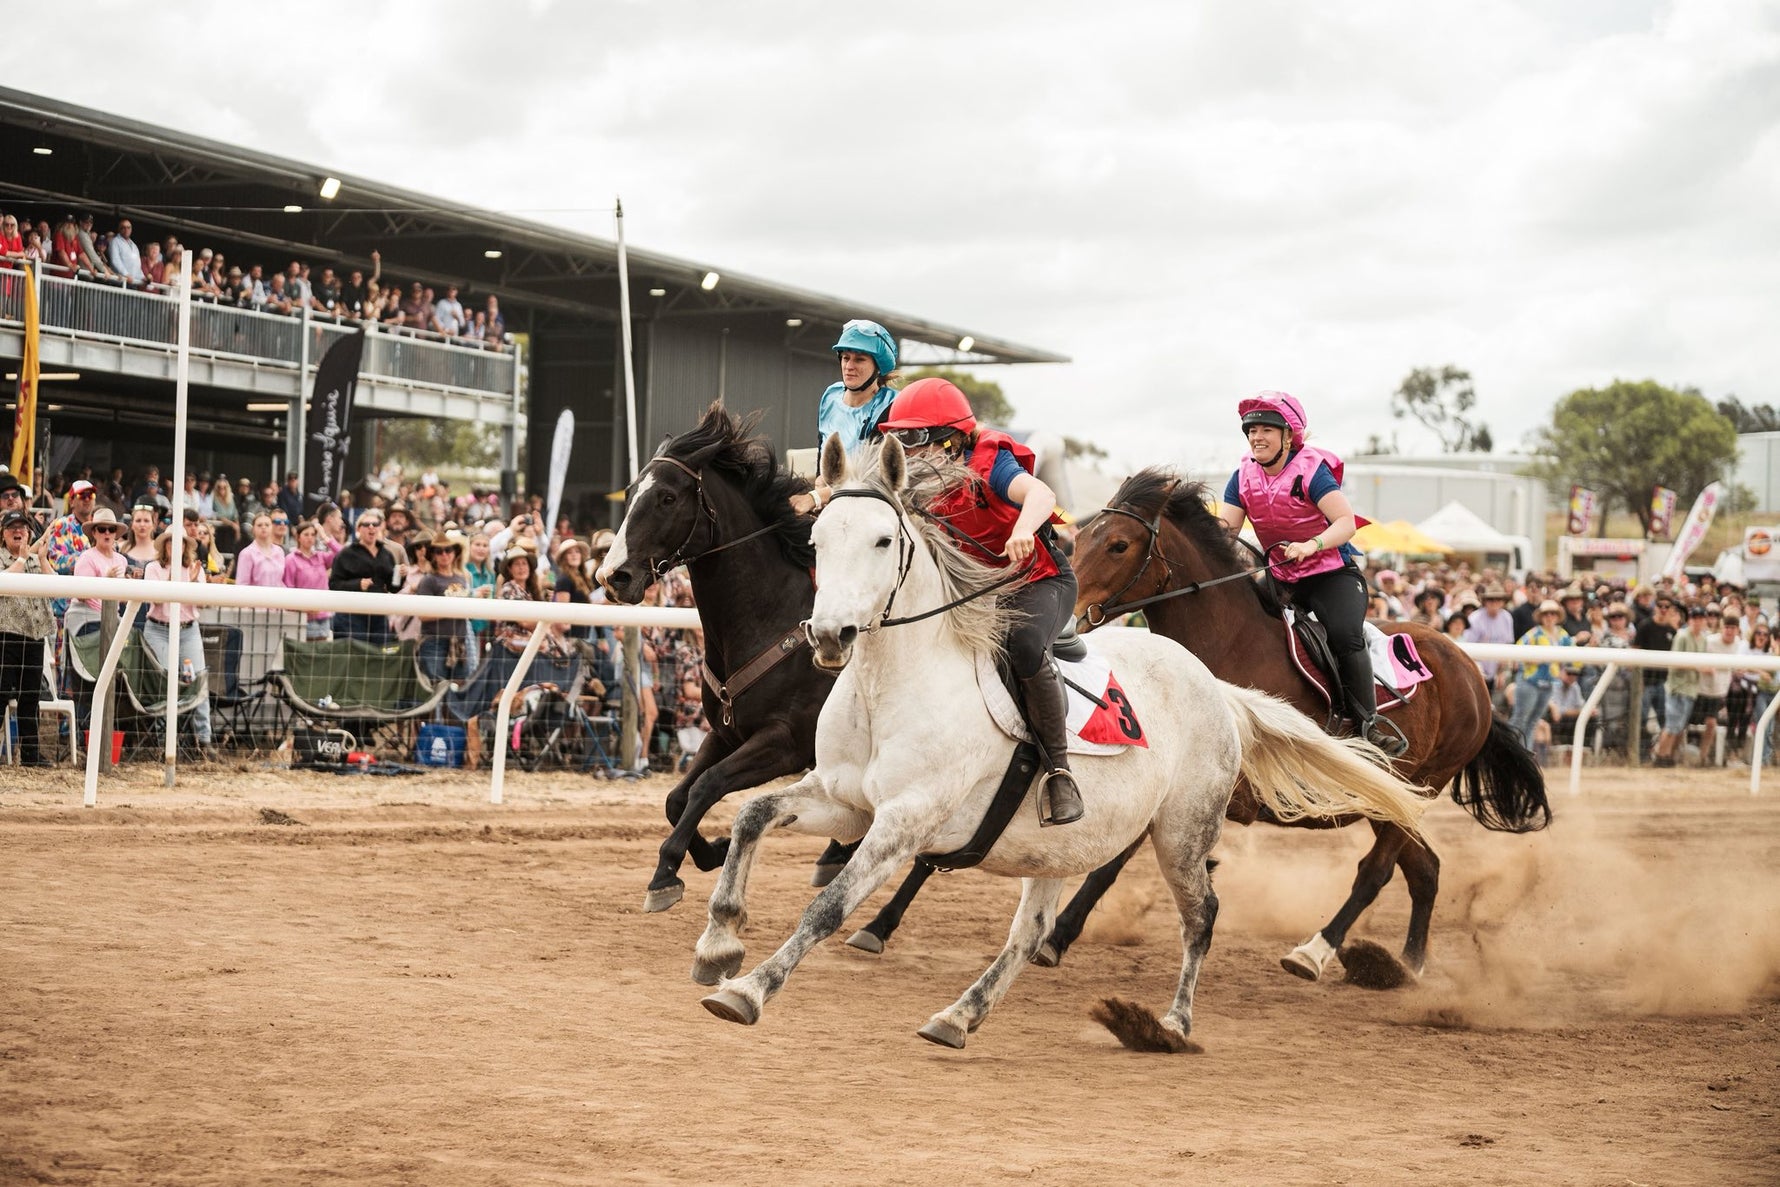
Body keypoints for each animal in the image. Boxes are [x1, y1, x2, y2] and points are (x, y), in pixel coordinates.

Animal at [595, 403, 943, 929]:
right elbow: (677, 798)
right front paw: (713, 850)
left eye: (667, 497)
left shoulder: (783, 743)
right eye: (633, 491)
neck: (770, 618)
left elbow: (707, 787)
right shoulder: (725, 732)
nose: (612, 576)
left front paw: (666, 872)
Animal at [691, 436, 1432, 1050]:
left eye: (880, 541)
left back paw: (1175, 1021)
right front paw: (719, 940)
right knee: (1031, 932)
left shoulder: (904, 821)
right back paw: (959, 1015)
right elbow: (750, 816)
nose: (828, 636)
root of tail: (1216, 686)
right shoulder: (843, 801)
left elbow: (828, 906)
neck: (894, 686)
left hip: (1181, 832)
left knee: (1203, 915)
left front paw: (748, 988)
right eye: (817, 540)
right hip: (1060, 842)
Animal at [1064, 467, 1550, 987]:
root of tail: (1471, 671)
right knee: (1426, 871)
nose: (1067, 617)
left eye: (1118, 545)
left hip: (1423, 782)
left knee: (1375, 872)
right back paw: (1408, 964)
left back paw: (1314, 952)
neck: (1229, 643)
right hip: (1387, 797)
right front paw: (1056, 935)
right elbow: (1112, 861)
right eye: (1079, 537)